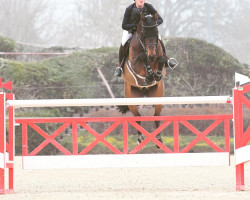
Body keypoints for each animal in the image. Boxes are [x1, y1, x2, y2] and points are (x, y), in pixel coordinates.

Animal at [117, 12, 168, 147]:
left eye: (156, 31)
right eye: (144, 33)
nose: (152, 54)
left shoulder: (158, 56)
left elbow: (161, 59)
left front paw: (156, 75)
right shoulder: (135, 64)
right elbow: (142, 57)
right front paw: (149, 74)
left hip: (157, 97)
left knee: (156, 116)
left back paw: (159, 140)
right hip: (132, 99)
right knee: (137, 117)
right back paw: (139, 139)